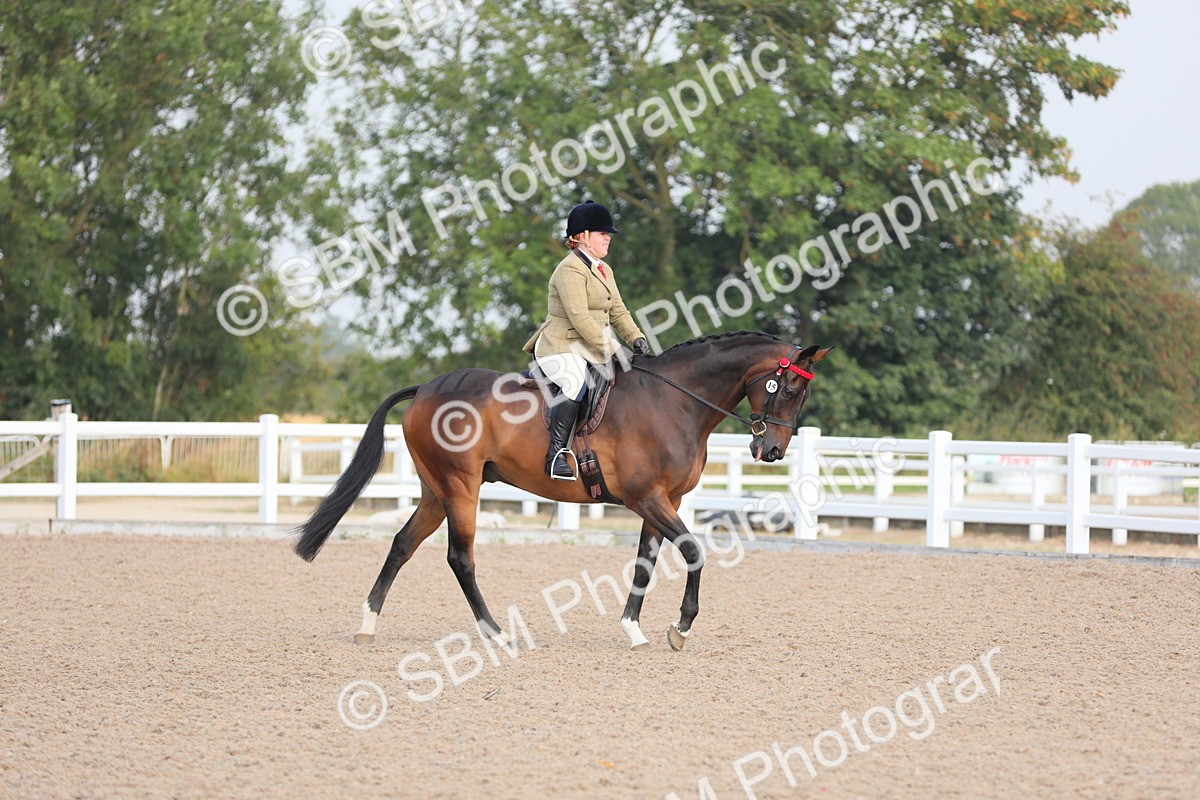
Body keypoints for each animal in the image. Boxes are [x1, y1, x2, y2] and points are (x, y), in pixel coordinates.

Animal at [292, 331, 832, 651]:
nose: (772, 451)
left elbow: (645, 561)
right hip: (460, 488)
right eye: (787, 389)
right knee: (459, 557)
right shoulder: (648, 499)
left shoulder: (663, 501)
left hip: (434, 491)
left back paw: (368, 625)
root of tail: (426, 387)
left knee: (403, 544)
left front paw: (633, 630)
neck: (673, 401)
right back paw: (496, 633)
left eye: (803, 393)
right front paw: (680, 628)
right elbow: (694, 552)